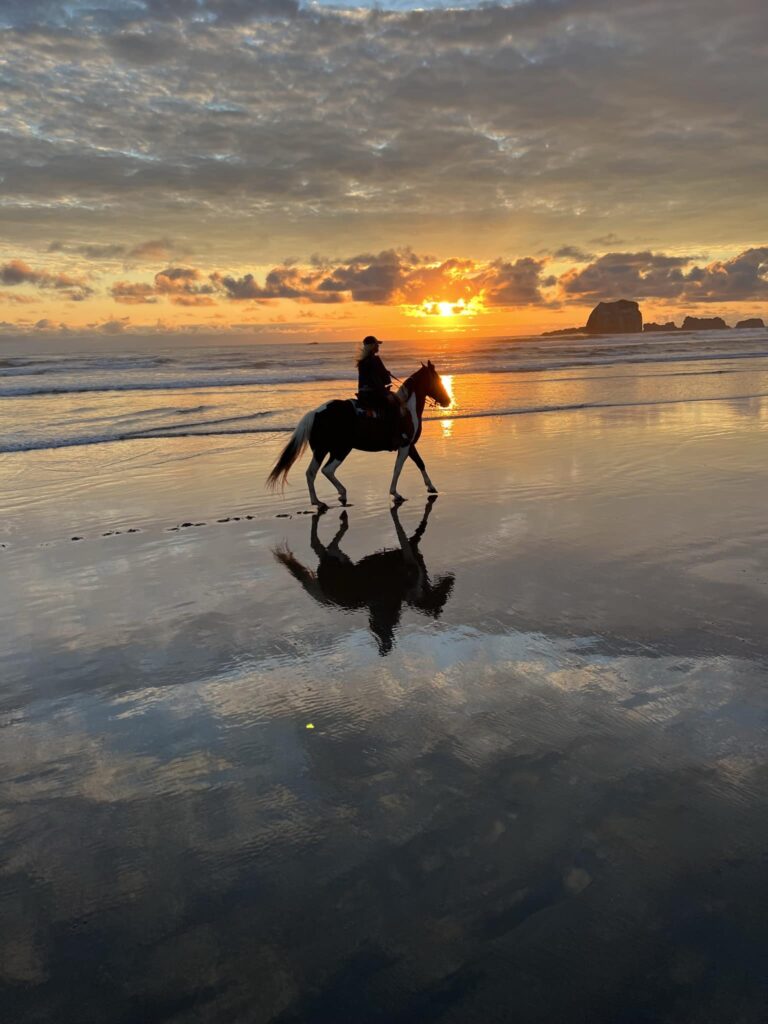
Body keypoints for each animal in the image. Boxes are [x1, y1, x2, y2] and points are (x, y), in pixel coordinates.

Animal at [268, 362, 454, 505]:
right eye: (437, 380)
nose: (448, 401)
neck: (407, 409)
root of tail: (316, 413)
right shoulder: (405, 445)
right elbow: (399, 469)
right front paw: (396, 493)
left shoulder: (410, 446)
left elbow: (420, 463)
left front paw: (430, 487)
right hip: (340, 450)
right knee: (326, 470)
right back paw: (339, 494)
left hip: (322, 451)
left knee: (311, 473)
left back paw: (318, 501)